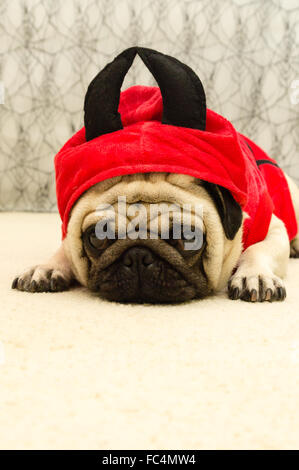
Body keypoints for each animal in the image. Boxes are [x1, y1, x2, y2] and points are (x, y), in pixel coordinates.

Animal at [11, 47, 299, 302]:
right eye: (96, 238)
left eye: (186, 238)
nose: (138, 256)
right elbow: (65, 248)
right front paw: (48, 266)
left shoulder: (271, 226)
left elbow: (258, 250)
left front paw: (254, 275)